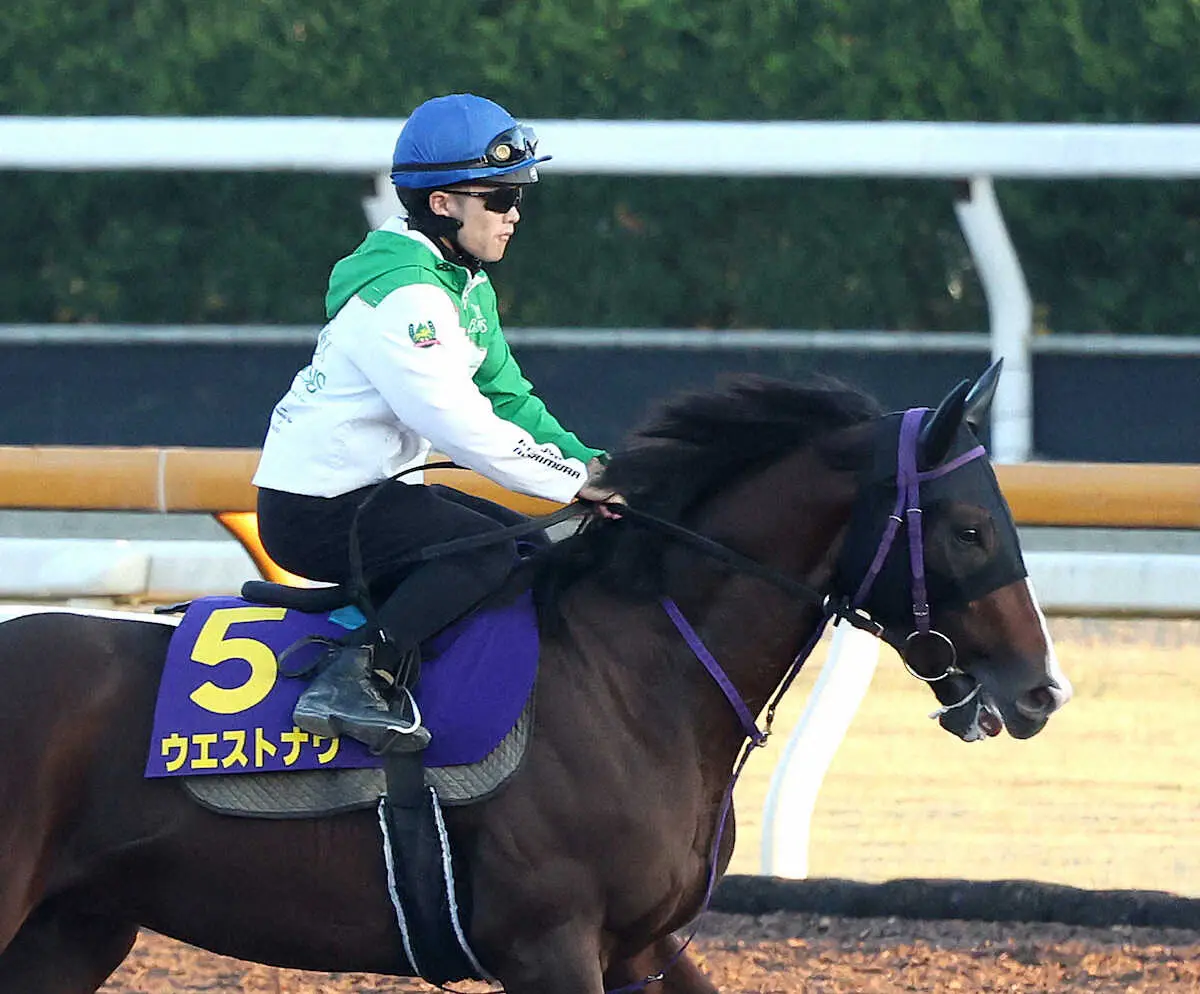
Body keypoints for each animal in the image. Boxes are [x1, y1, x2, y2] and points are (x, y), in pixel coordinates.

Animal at [0, 369, 1070, 994]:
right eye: (970, 527)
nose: (1040, 692)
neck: (634, 677)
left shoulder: (645, 948)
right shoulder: (550, 946)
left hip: (71, 931)